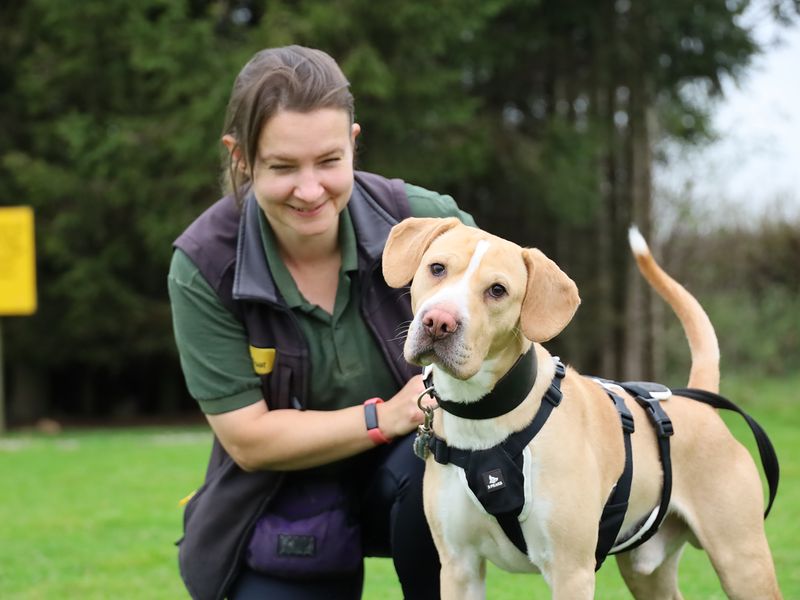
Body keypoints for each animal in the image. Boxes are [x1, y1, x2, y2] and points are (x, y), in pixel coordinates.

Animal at [382, 219, 780, 600]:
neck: (485, 416)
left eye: (497, 290)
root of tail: (699, 404)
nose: (439, 322)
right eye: (436, 268)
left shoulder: (570, 571)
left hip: (742, 561)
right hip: (646, 572)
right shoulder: (458, 567)